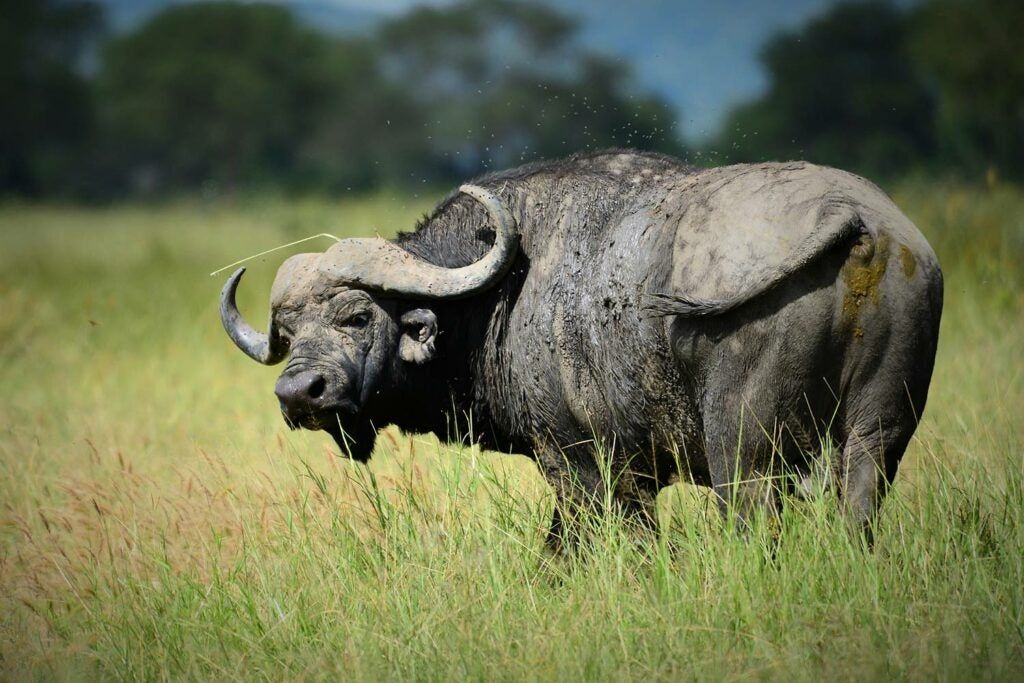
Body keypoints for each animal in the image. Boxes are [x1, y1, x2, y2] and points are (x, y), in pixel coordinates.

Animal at [220, 150, 943, 548]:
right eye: (288, 329)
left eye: (356, 315)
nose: (298, 393)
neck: (502, 293)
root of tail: (857, 217)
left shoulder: (585, 465)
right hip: (879, 432)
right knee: (861, 504)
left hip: (744, 447)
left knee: (751, 515)